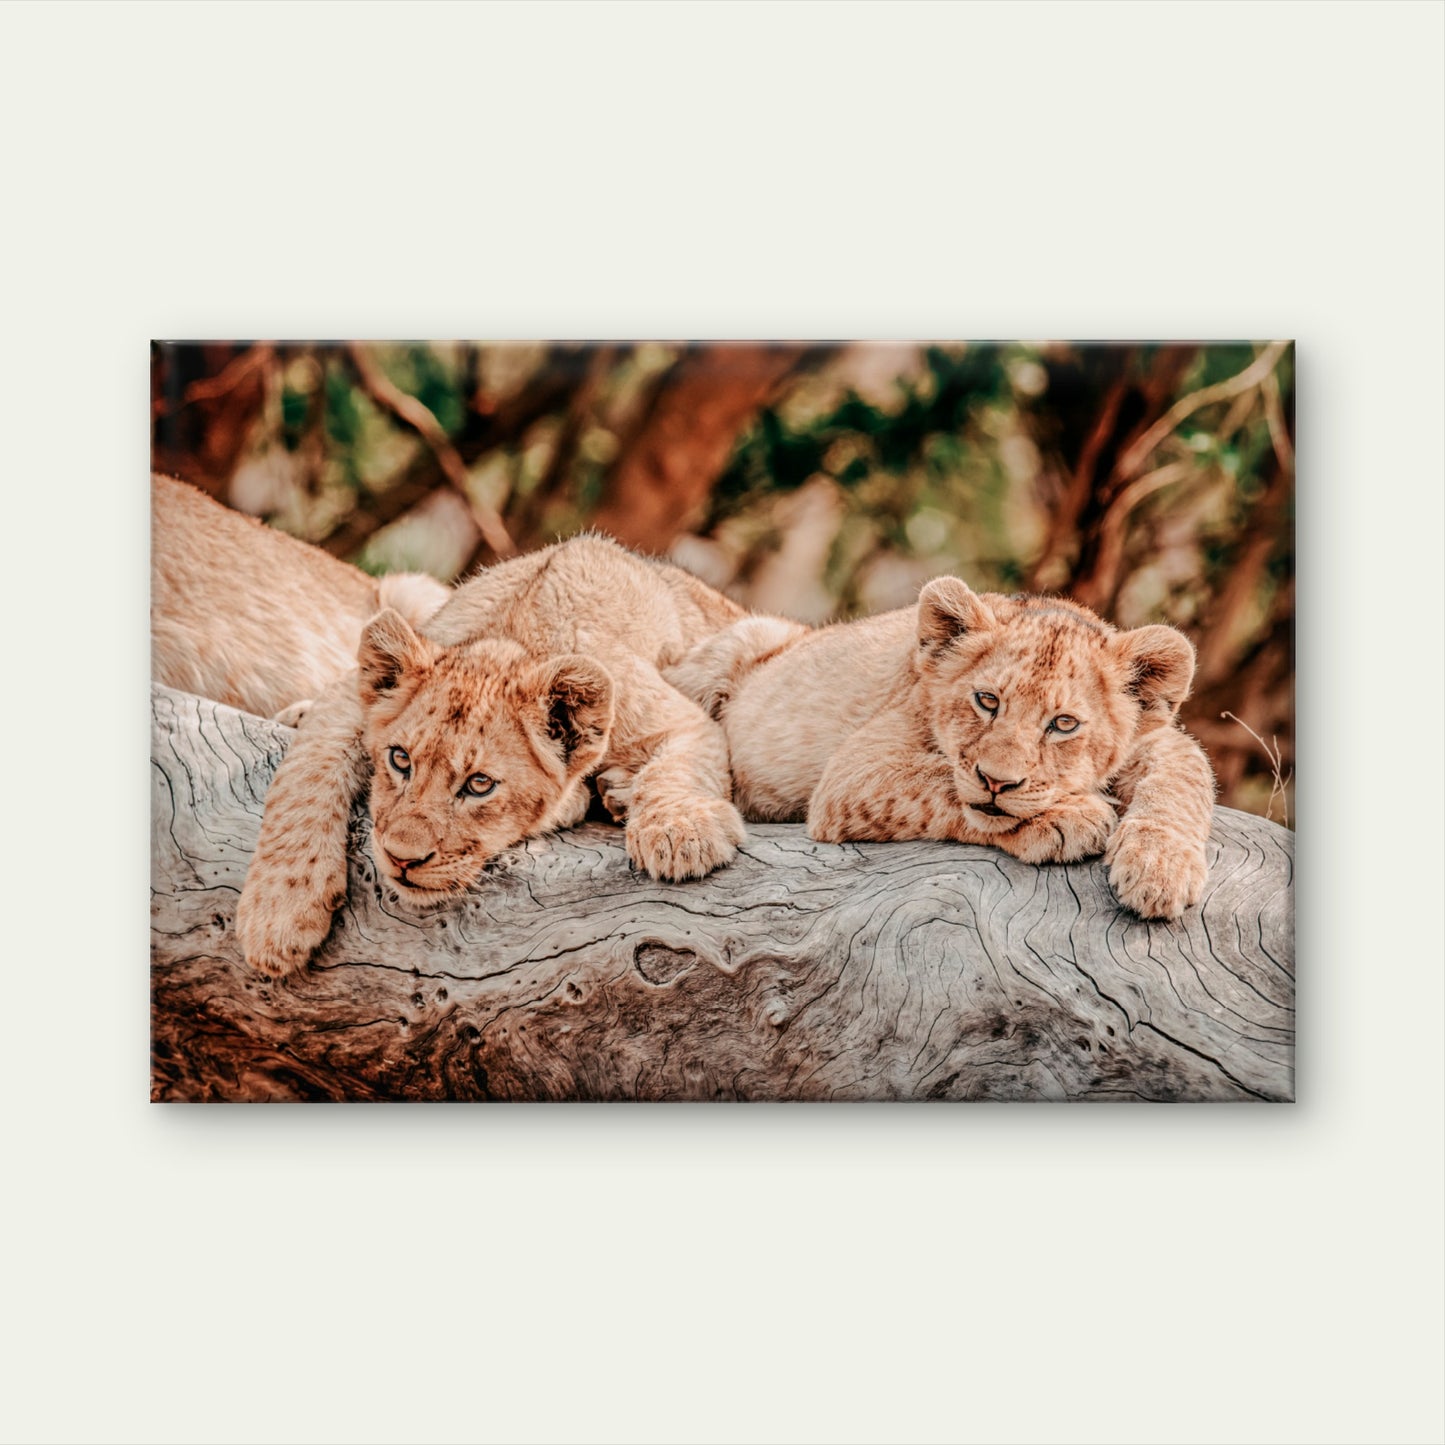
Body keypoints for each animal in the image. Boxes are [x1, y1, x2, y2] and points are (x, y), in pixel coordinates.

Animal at [236, 536, 749, 975]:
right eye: (400, 760)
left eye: (479, 784)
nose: (401, 859)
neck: (520, 635)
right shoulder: (348, 700)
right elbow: (305, 776)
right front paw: (277, 916)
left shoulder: (678, 719)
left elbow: (681, 768)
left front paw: (682, 835)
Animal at [664, 578, 1216, 920]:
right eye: (987, 700)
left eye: (1063, 724)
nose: (997, 781)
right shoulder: (853, 772)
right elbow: (938, 783)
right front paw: (1069, 818)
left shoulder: (1157, 738)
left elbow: (1187, 772)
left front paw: (1160, 869)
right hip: (737, 642)